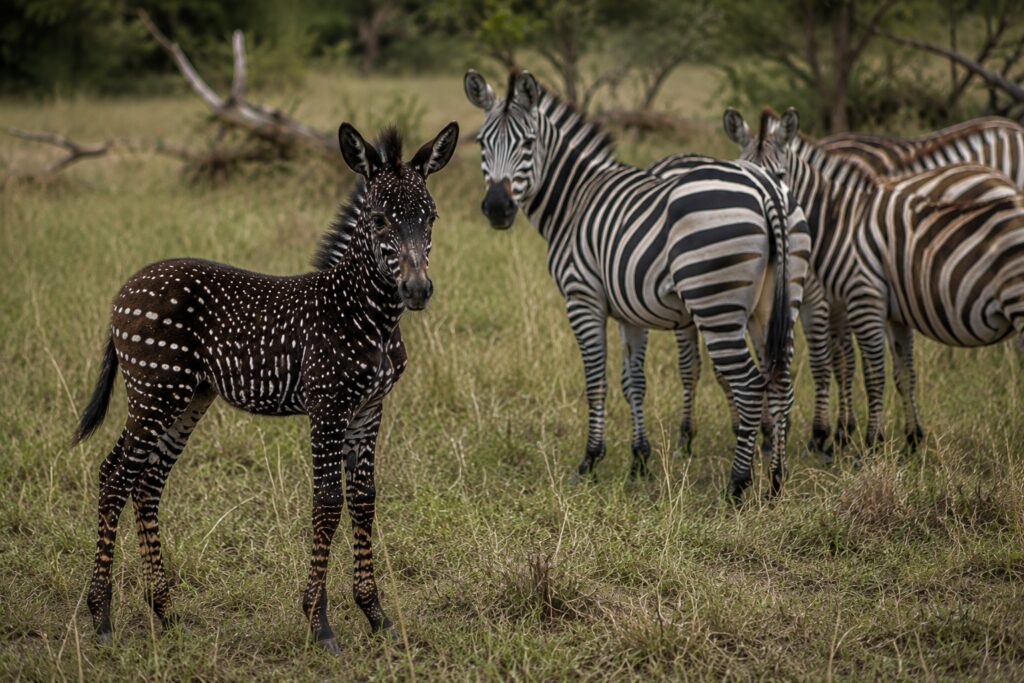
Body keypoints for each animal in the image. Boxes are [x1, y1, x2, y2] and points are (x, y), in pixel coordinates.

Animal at [70, 121, 459, 653]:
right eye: (379, 219)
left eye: (432, 217)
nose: (418, 291)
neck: (366, 315)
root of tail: (127, 287)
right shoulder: (328, 407)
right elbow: (328, 503)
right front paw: (319, 624)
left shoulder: (368, 409)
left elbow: (364, 500)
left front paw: (376, 616)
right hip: (154, 393)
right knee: (115, 477)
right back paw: (102, 617)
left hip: (189, 399)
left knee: (147, 483)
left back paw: (164, 610)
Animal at [464, 69, 809, 502]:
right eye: (482, 142)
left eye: (527, 142)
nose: (497, 208)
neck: (574, 200)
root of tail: (767, 190)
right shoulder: (629, 310)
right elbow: (634, 383)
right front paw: (639, 459)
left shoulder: (583, 299)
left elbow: (596, 380)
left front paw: (590, 460)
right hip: (776, 304)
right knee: (780, 380)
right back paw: (776, 481)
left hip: (716, 305)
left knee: (748, 383)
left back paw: (737, 485)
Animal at [726, 107, 1024, 452]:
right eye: (743, 175)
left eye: (781, 176)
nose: (759, 222)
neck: (837, 218)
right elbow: (859, 364)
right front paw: (846, 432)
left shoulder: (828, 297)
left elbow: (834, 363)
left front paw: (831, 435)